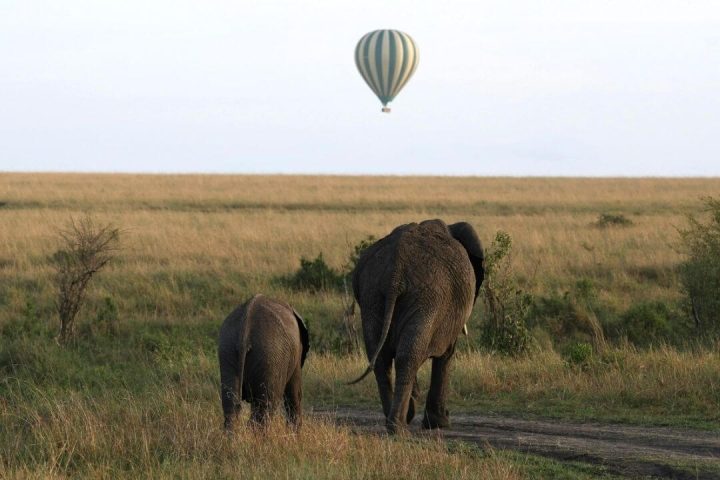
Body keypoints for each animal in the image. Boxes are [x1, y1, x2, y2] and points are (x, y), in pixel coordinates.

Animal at [218, 294, 309, 430]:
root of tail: (245, 332)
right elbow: (295, 393)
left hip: (228, 348)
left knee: (232, 403)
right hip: (270, 354)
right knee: (266, 407)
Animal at [349, 219, 484, 434]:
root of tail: (395, 270)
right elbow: (446, 354)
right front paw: (439, 424)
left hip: (372, 294)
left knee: (383, 358)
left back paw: (397, 421)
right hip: (428, 297)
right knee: (409, 355)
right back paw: (399, 427)